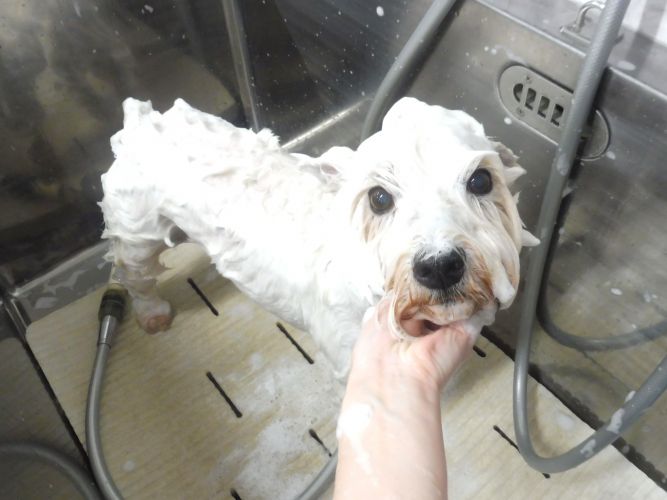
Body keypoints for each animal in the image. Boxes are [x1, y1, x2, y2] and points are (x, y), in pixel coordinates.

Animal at [100, 97, 538, 377]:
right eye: (379, 198)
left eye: (481, 180)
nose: (439, 266)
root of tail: (141, 120)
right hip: (136, 226)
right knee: (133, 273)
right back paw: (152, 312)